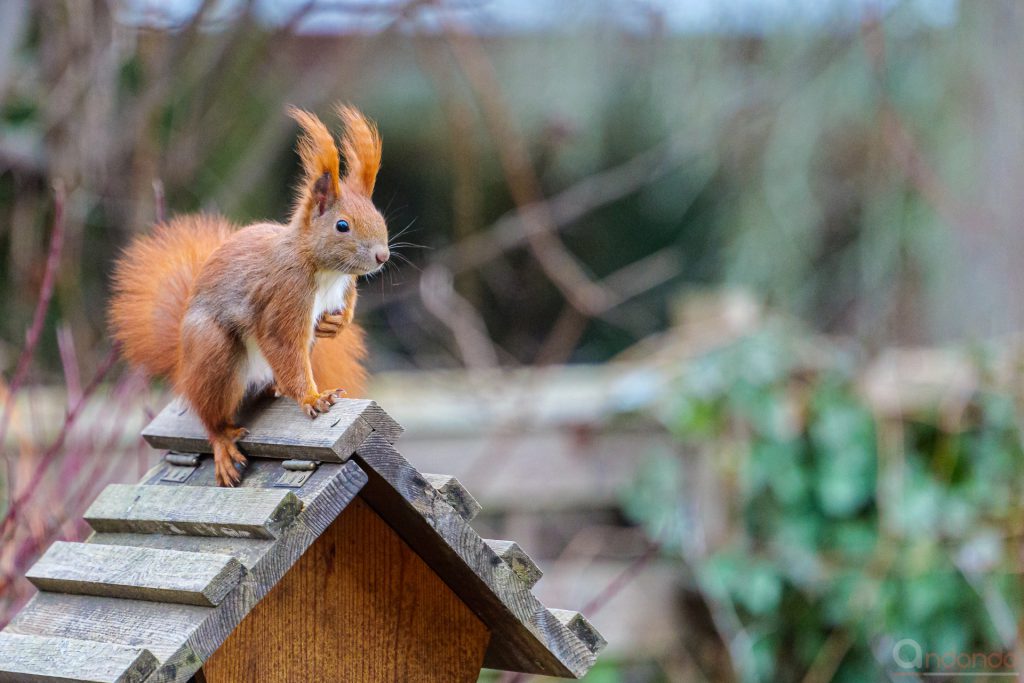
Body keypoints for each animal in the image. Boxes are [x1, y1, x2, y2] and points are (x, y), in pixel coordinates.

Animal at [108, 104, 387, 485]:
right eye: (342, 226)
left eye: (379, 216)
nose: (382, 256)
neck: (325, 271)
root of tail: (183, 363)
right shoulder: (285, 293)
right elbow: (282, 343)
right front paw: (313, 398)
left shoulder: (344, 288)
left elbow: (344, 310)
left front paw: (336, 324)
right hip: (213, 351)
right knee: (210, 413)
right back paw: (223, 441)